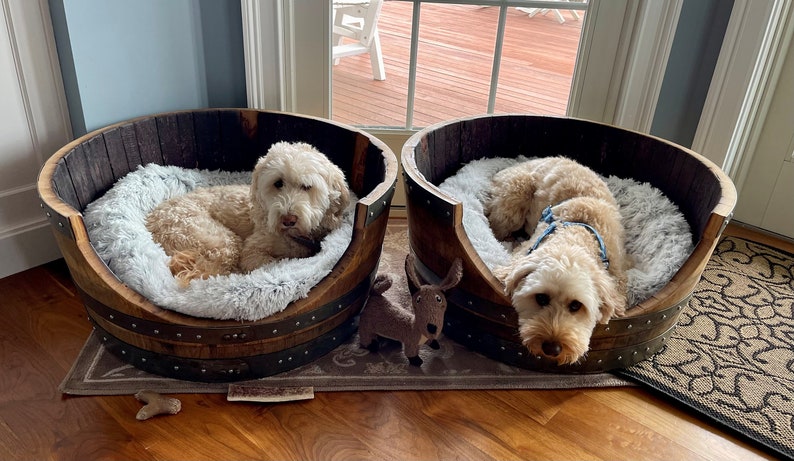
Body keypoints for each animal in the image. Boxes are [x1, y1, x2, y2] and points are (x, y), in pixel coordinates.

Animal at [146, 141, 350, 284]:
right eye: (278, 183)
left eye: (307, 187)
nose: (288, 219)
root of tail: (152, 218)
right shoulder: (252, 252)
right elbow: (272, 262)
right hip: (217, 239)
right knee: (207, 271)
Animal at [482, 156, 624, 364]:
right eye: (541, 298)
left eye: (576, 305)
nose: (552, 348)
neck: (576, 233)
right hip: (514, 198)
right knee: (497, 226)